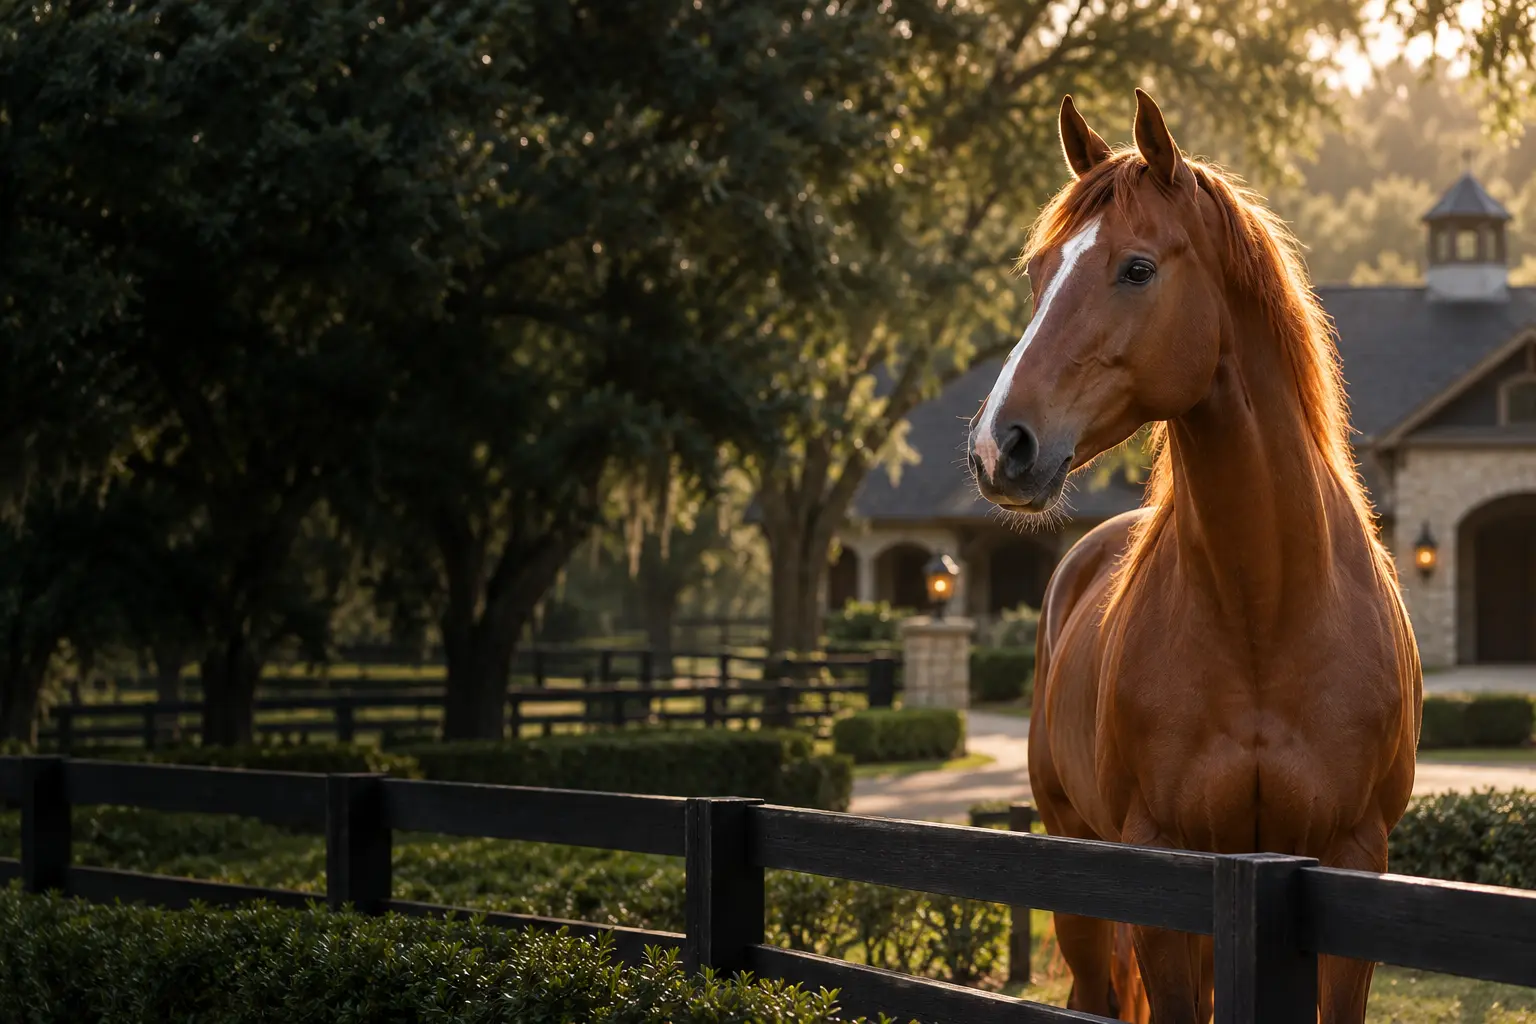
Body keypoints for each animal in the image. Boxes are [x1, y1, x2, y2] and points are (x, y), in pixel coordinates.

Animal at [967, 90, 1421, 1023]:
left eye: (1137, 268)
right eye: (1038, 273)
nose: (1001, 447)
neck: (1267, 612)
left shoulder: (1350, 863)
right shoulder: (1163, 865)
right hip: (1078, 868)